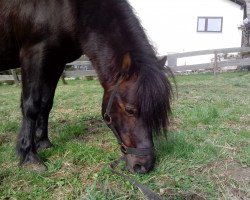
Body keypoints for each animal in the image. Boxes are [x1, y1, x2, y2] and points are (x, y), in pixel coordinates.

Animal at [0, 0, 172, 173]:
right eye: (130, 110)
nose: (143, 166)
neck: (69, 9)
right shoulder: (33, 53)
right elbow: (31, 106)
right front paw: (29, 156)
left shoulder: (55, 61)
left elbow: (45, 104)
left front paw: (43, 143)